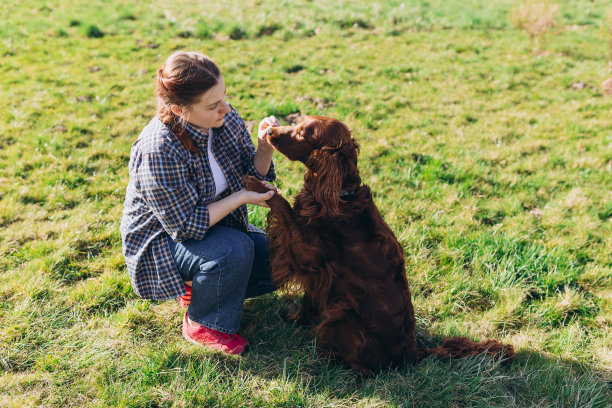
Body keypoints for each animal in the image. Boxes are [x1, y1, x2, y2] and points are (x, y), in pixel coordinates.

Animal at [241, 116, 512, 374]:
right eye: (298, 123)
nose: (269, 131)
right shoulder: (321, 273)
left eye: (301, 133)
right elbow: (310, 298)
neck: (340, 196)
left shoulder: (307, 251)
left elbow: (281, 203)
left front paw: (255, 184)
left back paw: (330, 360)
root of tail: (413, 353)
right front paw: (296, 318)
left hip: (344, 313)